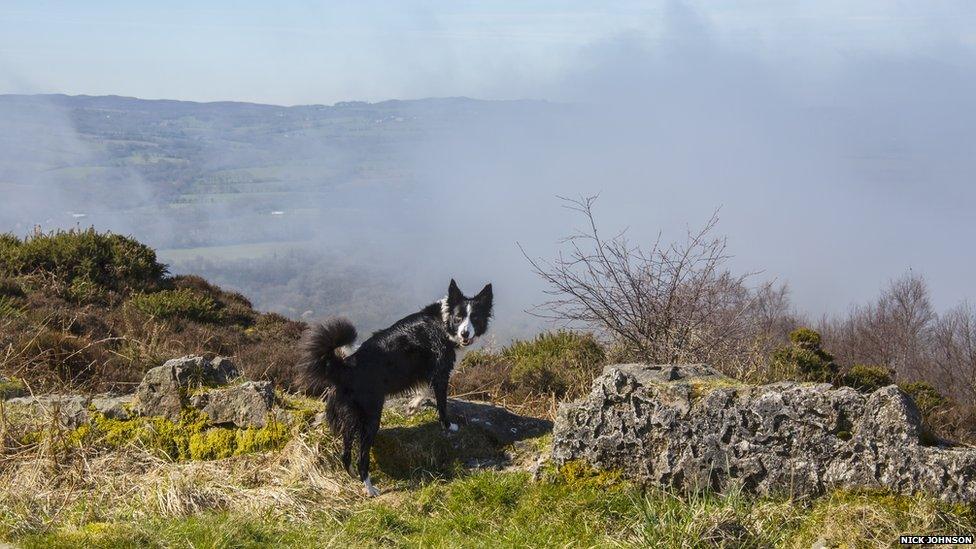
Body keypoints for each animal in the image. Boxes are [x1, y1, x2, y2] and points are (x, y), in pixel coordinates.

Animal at [298, 278, 492, 496]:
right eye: (459, 318)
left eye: (474, 318)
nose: (465, 333)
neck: (444, 324)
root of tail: (345, 366)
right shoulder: (441, 373)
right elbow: (442, 403)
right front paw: (448, 425)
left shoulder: (428, 372)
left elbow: (424, 389)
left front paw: (413, 405)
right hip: (371, 417)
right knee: (361, 456)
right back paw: (370, 488)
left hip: (350, 418)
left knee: (346, 452)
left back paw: (352, 476)